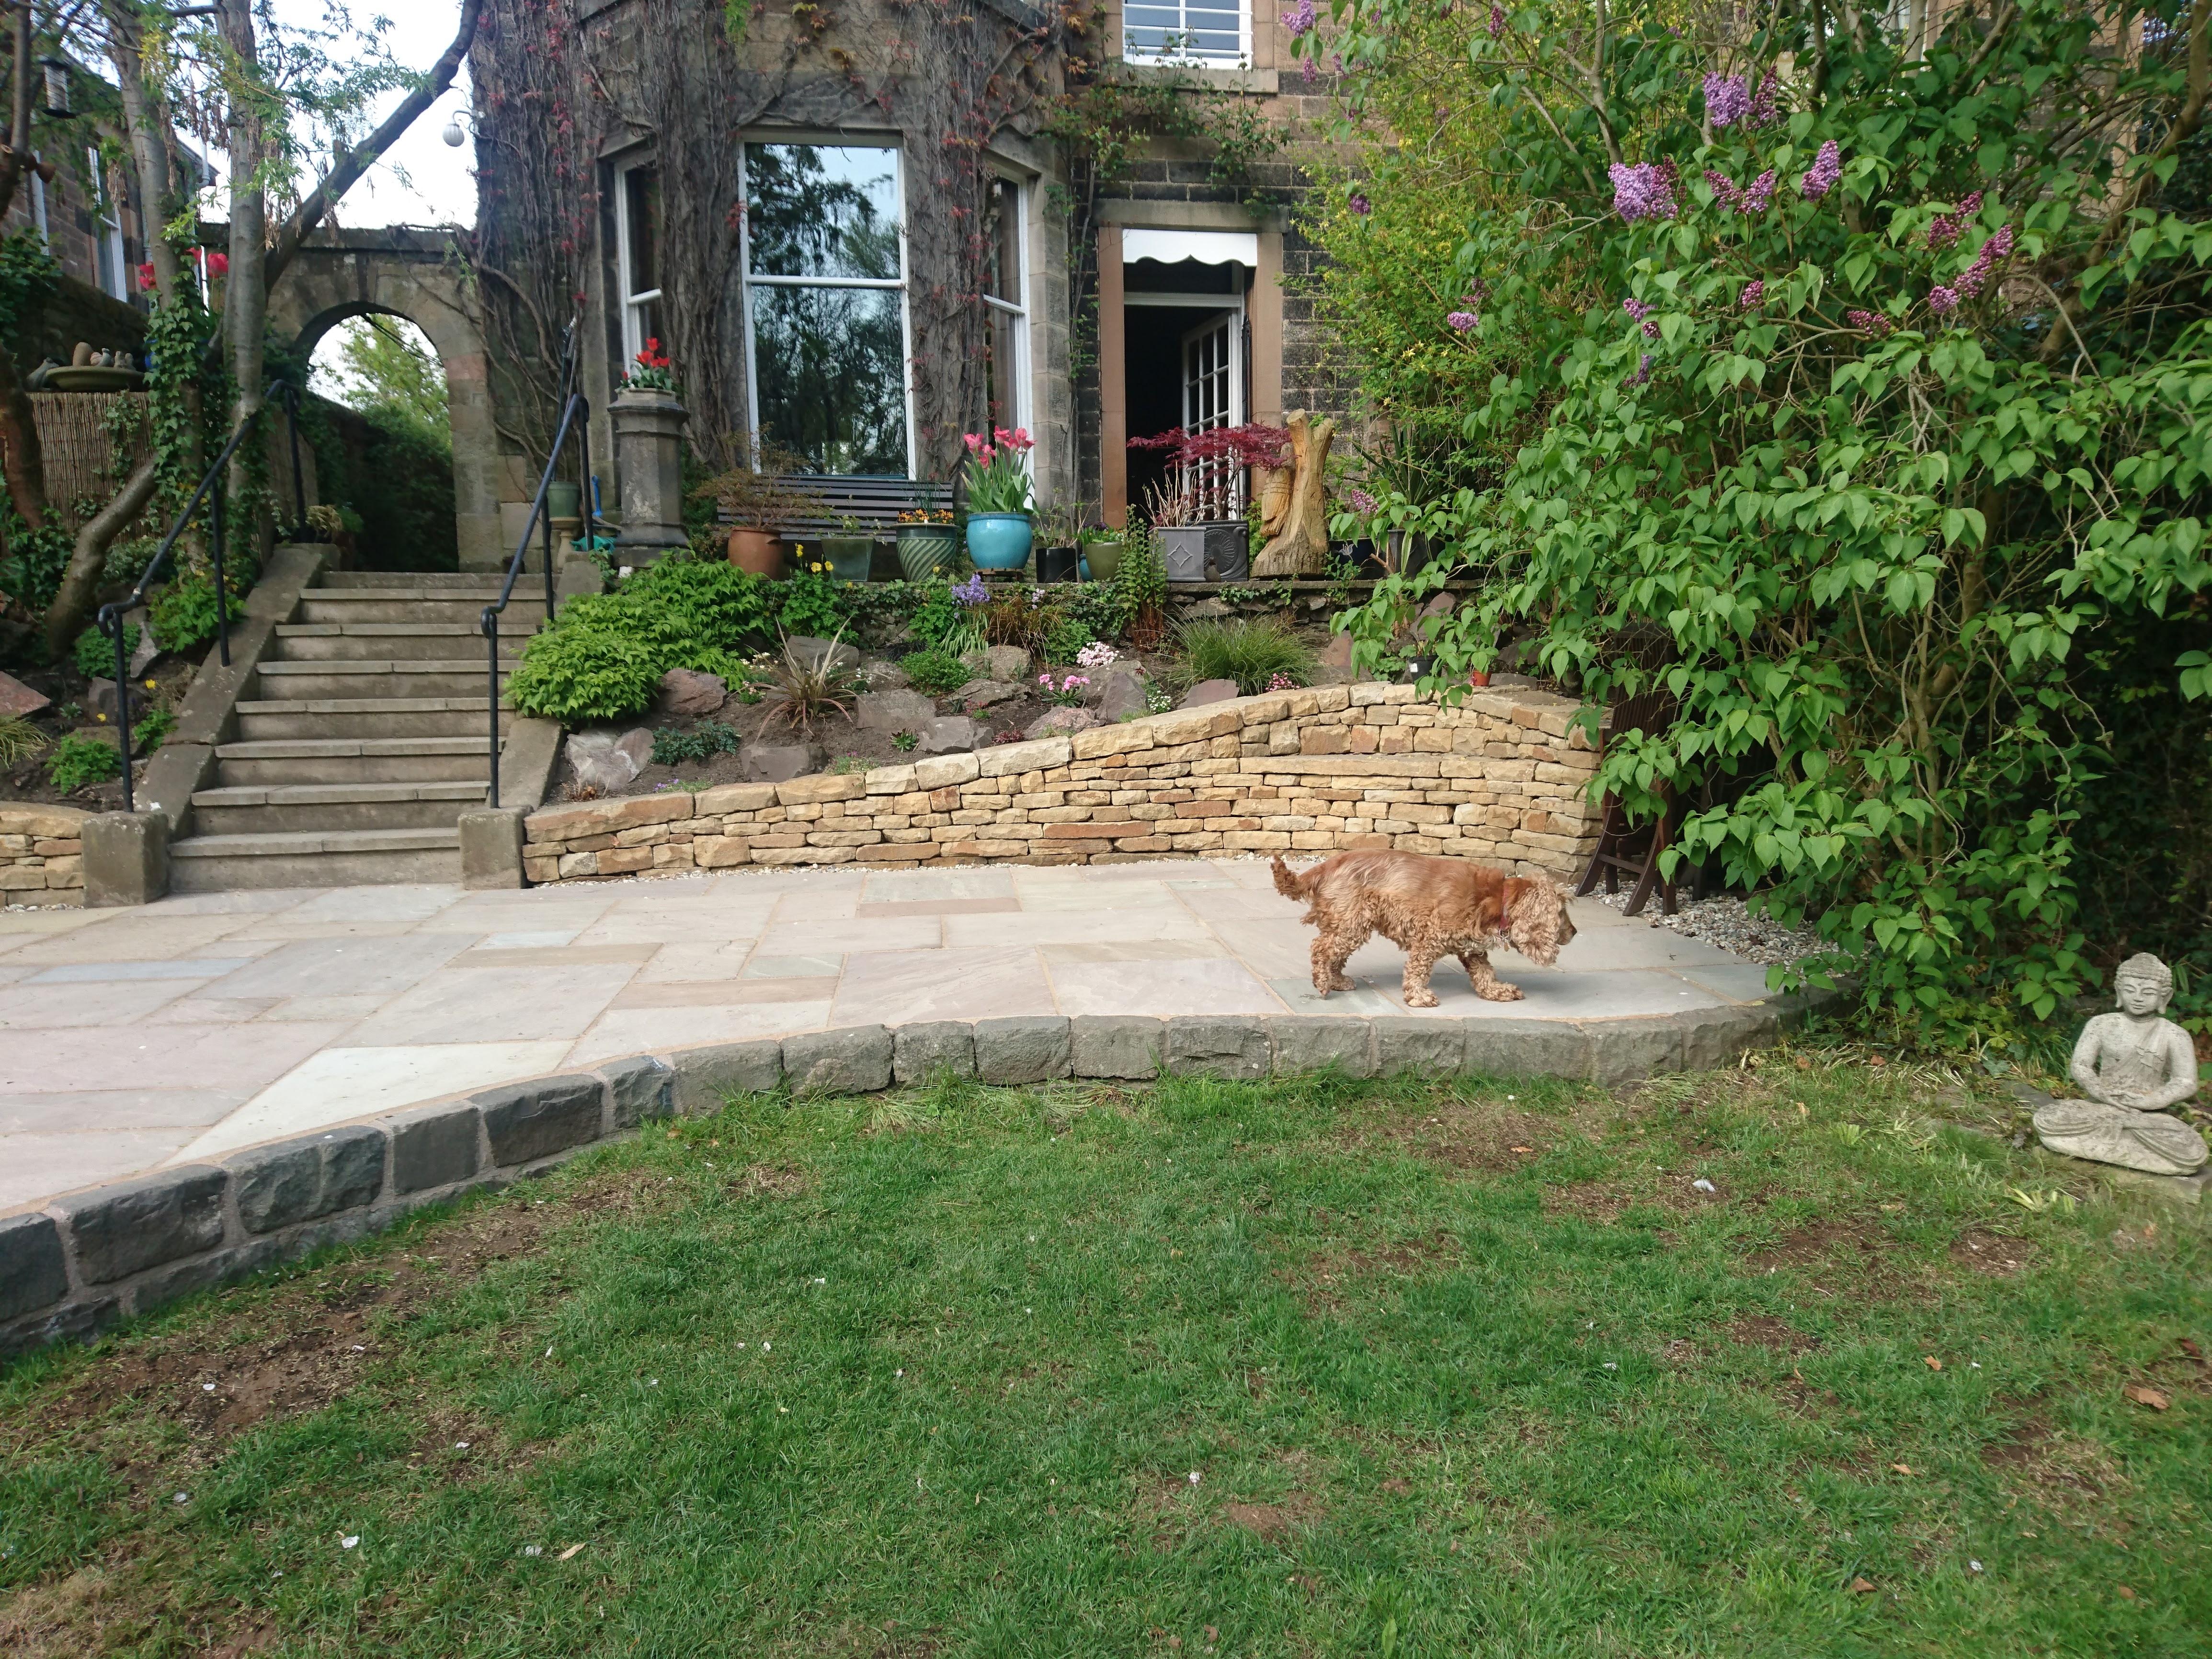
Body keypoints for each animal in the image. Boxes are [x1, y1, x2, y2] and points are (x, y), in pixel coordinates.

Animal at [1265, 858, 1575, 1013]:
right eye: (1561, 913)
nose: (1574, 932)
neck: (1498, 898)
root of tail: (1326, 867)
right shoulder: (1431, 937)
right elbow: (1419, 970)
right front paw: (1419, 997)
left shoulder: (1471, 947)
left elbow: (1485, 972)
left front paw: (1497, 992)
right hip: (1351, 923)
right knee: (1321, 948)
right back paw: (1322, 984)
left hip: (1350, 923)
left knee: (1334, 954)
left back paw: (1337, 980)